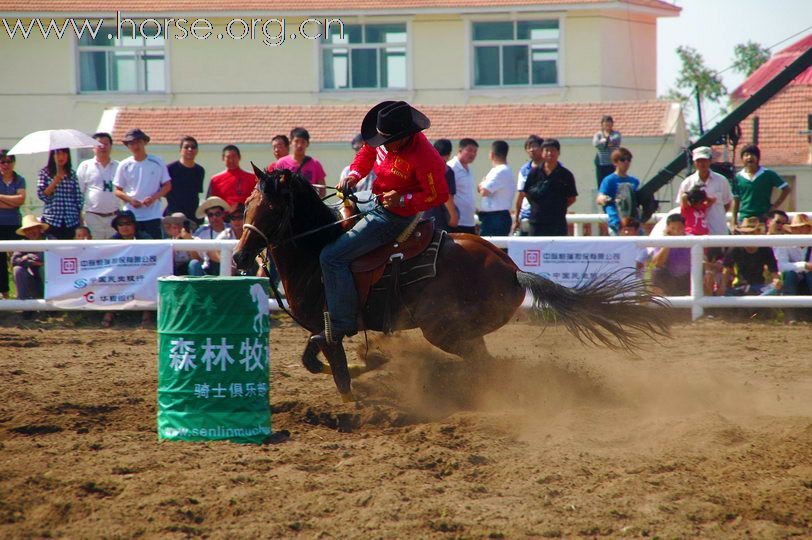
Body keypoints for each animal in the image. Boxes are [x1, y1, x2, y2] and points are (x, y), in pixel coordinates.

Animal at [232, 168, 668, 400]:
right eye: (248, 203)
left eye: (271, 207)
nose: (238, 258)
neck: (317, 251)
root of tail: (510, 268)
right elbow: (317, 360)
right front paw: (371, 363)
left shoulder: (330, 326)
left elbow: (325, 362)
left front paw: (363, 375)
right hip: (463, 332)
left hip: (443, 330)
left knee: (488, 367)